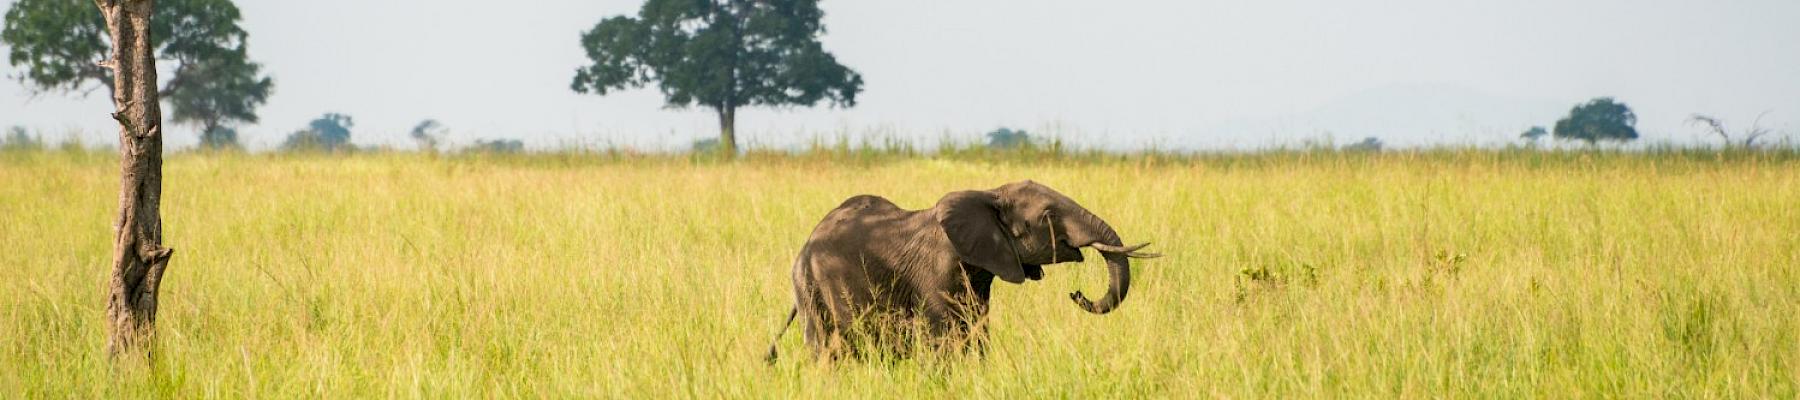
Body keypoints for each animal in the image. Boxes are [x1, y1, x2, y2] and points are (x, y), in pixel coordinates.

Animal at [759, 179, 1152, 360]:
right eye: (1048, 216)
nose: (1077, 294)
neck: (990, 193)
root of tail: (805, 246)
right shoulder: (937, 271)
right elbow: (944, 334)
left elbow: (977, 326)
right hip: (814, 288)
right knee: (829, 348)